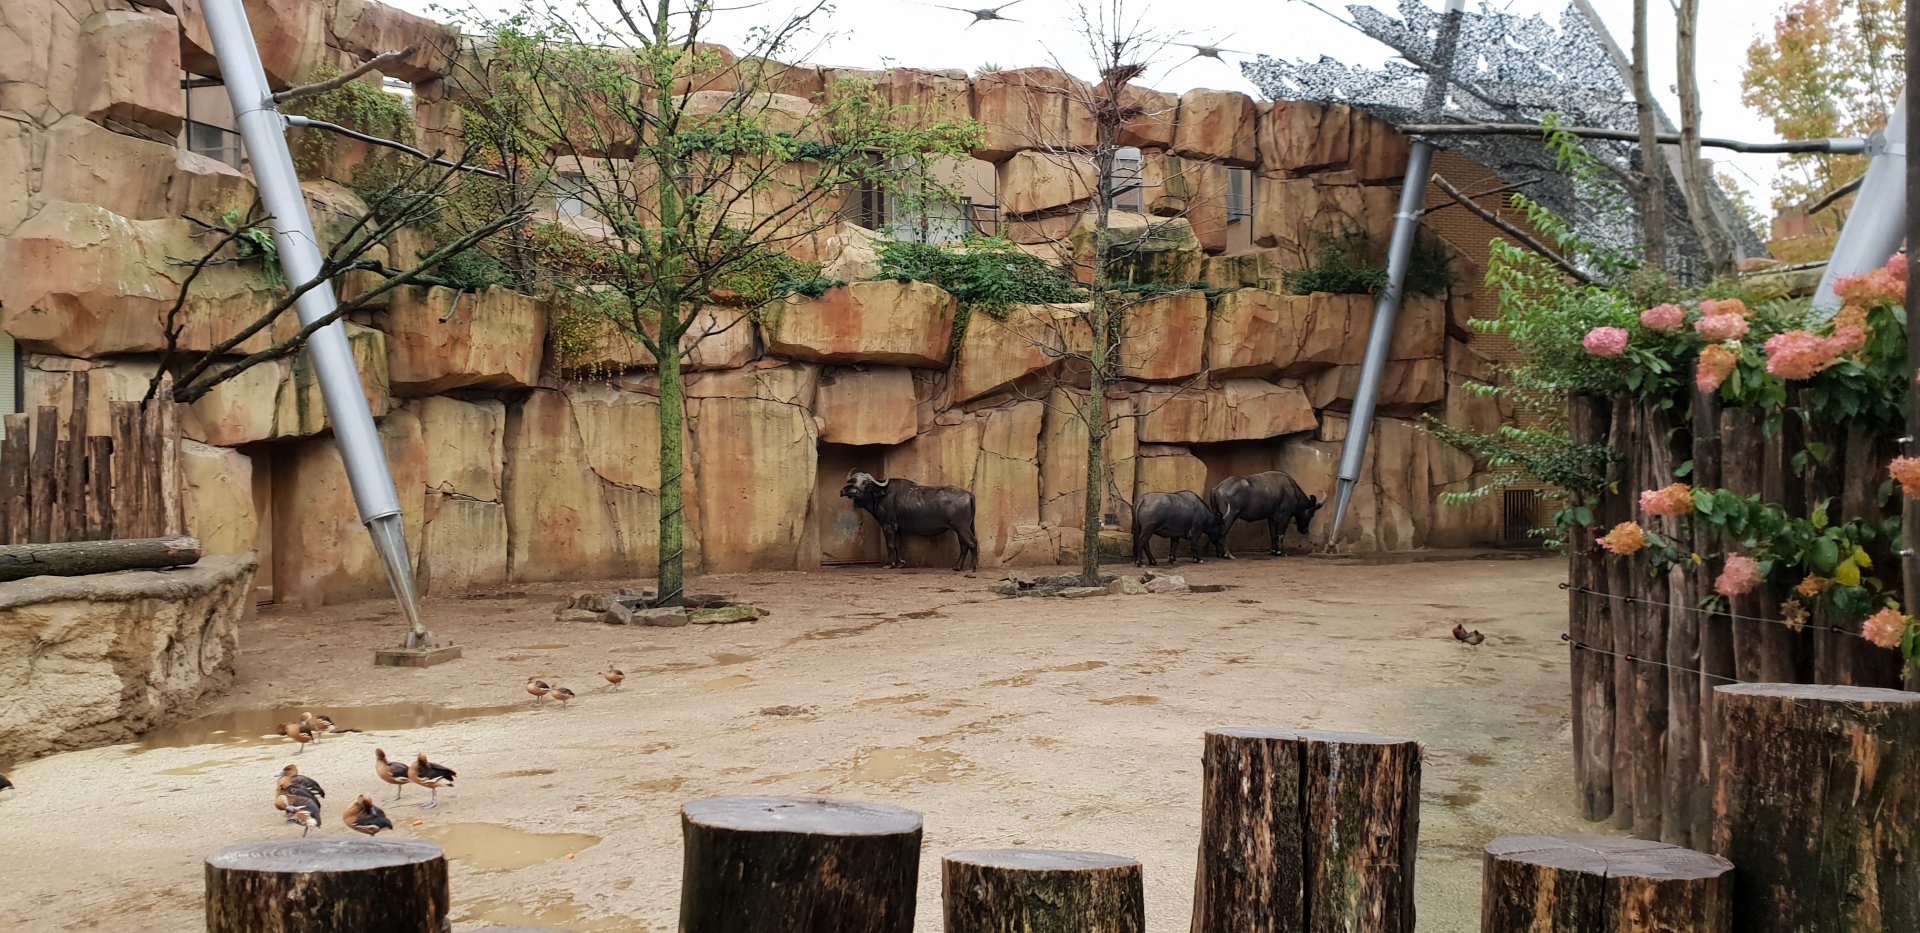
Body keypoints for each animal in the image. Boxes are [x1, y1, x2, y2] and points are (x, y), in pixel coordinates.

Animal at [839, 471, 980, 571]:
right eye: (854, 482)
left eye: (866, 483)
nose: (853, 492)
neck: (881, 496)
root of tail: (969, 494)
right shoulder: (898, 528)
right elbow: (898, 545)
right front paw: (900, 563)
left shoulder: (888, 526)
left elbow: (890, 545)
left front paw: (891, 564)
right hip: (961, 529)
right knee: (964, 545)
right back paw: (957, 567)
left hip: (962, 527)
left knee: (972, 542)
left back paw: (973, 567)